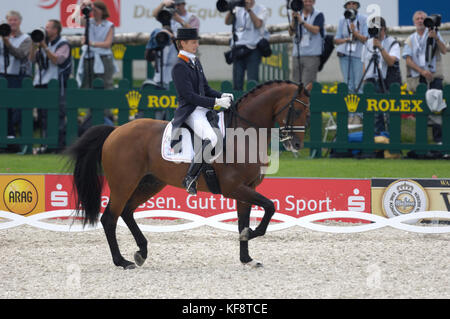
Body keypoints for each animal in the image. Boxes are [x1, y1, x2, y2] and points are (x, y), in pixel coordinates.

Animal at [67, 80, 312, 270]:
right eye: (297, 111)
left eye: (308, 113)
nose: (296, 145)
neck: (244, 134)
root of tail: (115, 131)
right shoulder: (235, 188)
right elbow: (270, 207)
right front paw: (249, 235)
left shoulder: (247, 188)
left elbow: (244, 220)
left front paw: (247, 258)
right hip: (123, 184)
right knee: (110, 218)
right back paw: (122, 261)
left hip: (150, 183)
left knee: (127, 212)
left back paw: (141, 252)